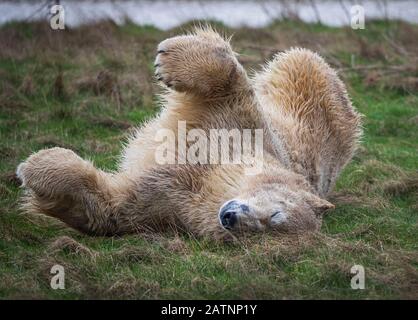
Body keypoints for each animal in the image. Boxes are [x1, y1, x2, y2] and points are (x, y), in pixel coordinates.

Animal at [16, 27, 360, 240]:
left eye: (264, 231)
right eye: (276, 213)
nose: (231, 218)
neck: (214, 174)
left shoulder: (170, 206)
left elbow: (108, 208)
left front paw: (37, 169)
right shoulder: (244, 127)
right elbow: (229, 79)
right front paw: (168, 59)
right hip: (307, 86)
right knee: (297, 61)